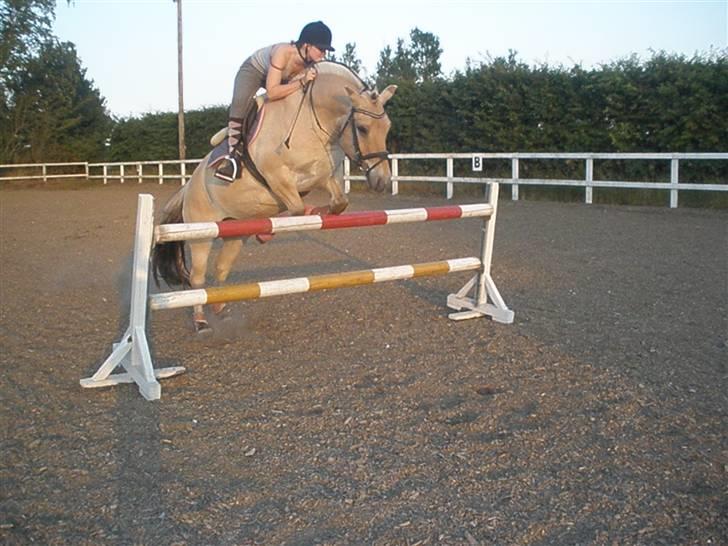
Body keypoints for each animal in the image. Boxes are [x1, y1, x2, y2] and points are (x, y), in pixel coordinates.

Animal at [152, 61, 397, 332]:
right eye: (362, 129)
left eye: (387, 127)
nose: (382, 181)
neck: (310, 120)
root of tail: (188, 187)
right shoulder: (278, 177)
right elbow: (298, 208)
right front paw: (271, 231)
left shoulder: (323, 176)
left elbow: (338, 202)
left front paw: (315, 212)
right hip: (201, 234)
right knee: (197, 278)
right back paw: (201, 321)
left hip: (236, 234)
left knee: (222, 269)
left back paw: (220, 309)